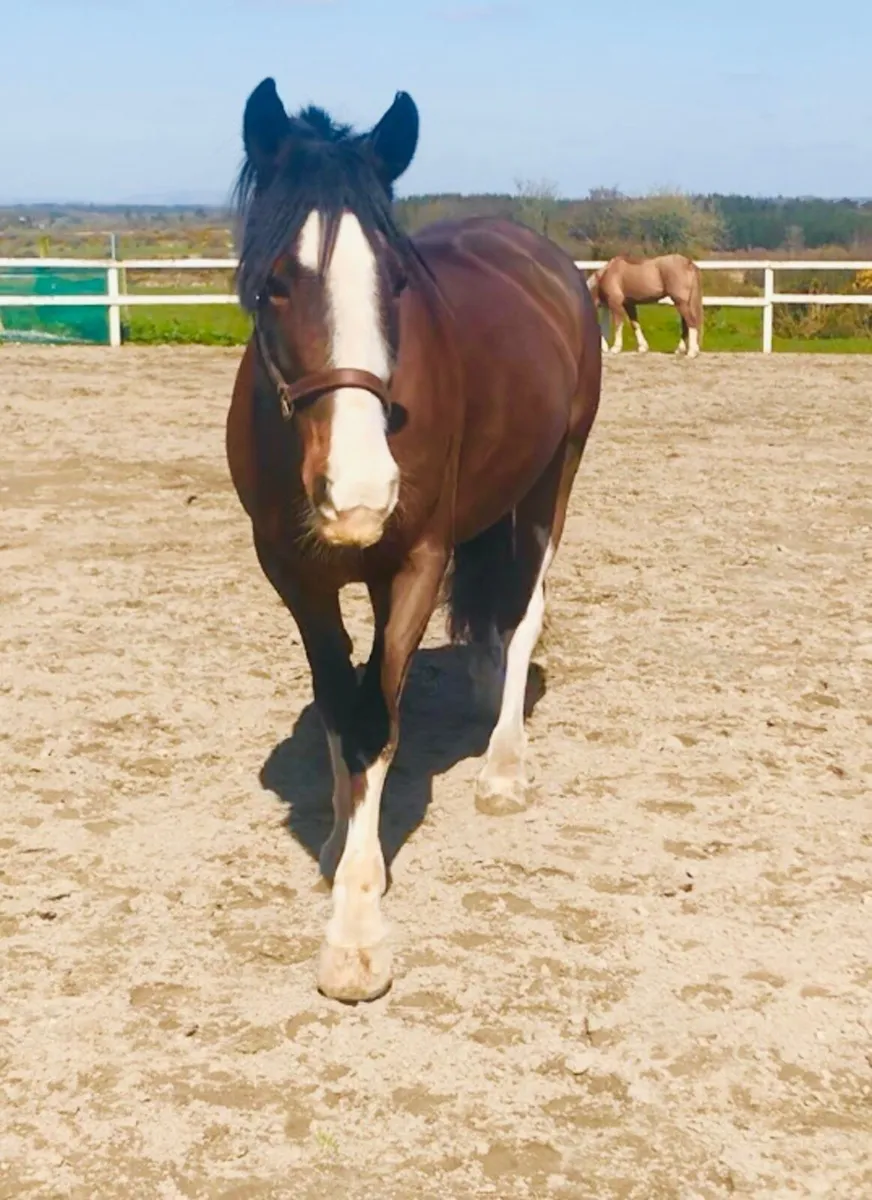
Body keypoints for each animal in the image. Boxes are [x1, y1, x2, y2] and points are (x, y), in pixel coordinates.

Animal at [225, 78, 602, 1003]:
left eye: (397, 282)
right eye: (274, 284)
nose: (361, 493)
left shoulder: (417, 563)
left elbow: (376, 723)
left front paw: (356, 936)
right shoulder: (294, 573)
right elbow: (340, 703)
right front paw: (336, 842)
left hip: (554, 481)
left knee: (524, 612)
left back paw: (503, 765)